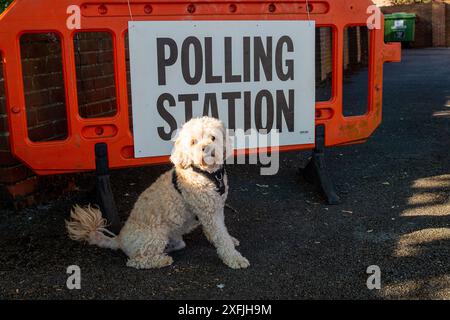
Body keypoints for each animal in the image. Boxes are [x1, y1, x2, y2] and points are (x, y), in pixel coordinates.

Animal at [66, 116, 250, 268]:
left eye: (213, 137)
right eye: (193, 142)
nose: (206, 148)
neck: (208, 173)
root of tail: (119, 239)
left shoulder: (215, 209)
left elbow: (220, 232)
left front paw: (229, 240)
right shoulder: (209, 212)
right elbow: (221, 237)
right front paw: (234, 258)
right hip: (155, 237)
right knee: (135, 261)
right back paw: (161, 260)